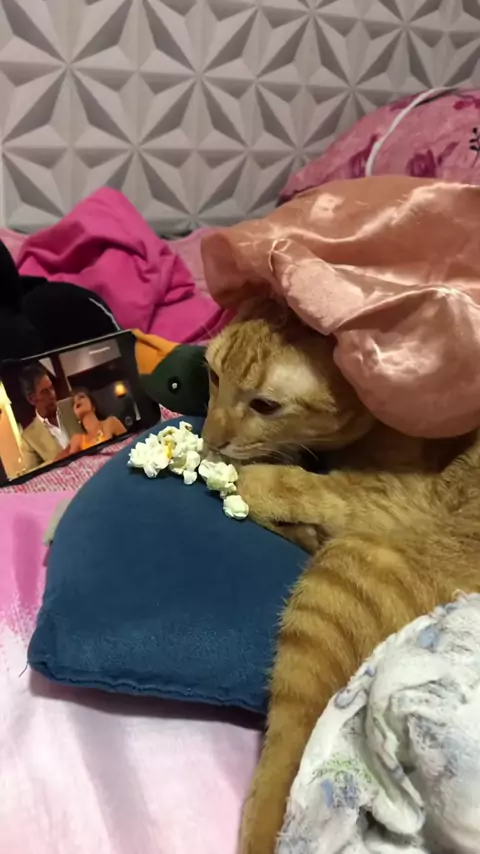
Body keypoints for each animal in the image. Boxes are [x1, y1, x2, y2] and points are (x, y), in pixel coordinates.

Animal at [202, 301, 480, 854]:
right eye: (214, 375)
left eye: (265, 404)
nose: (209, 438)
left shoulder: (394, 496)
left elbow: (310, 487)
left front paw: (246, 477)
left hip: (345, 572)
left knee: (288, 762)